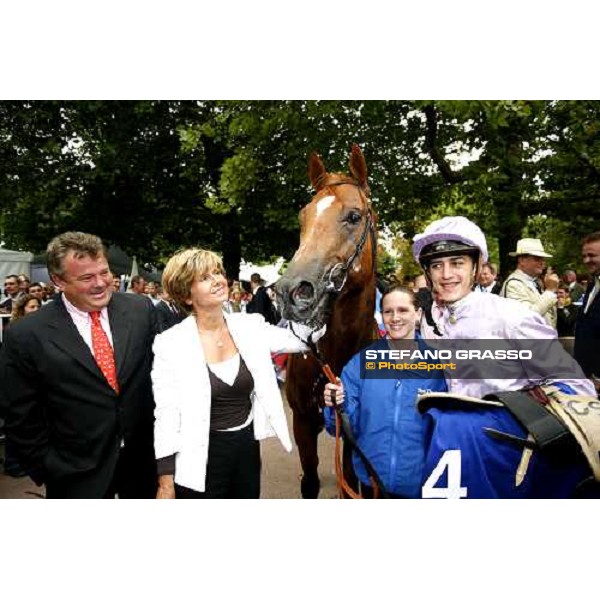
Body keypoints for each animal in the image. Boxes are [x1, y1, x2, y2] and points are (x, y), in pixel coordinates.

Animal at [276, 144, 378, 496]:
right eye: (302, 217)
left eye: (354, 216)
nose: (291, 291)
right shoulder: (303, 422)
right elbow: (310, 481)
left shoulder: (353, 434)